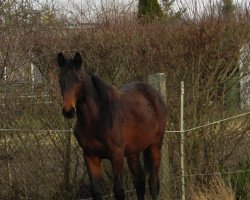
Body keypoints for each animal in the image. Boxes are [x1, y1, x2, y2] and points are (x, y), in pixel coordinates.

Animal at [56, 52, 166, 199]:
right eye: (60, 81)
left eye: (78, 80)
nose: (68, 111)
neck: (96, 119)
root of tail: (155, 94)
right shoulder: (90, 156)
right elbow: (96, 191)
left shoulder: (116, 155)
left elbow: (119, 190)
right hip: (133, 152)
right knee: (140, 181)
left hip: (155, 147)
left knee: (153, 182)